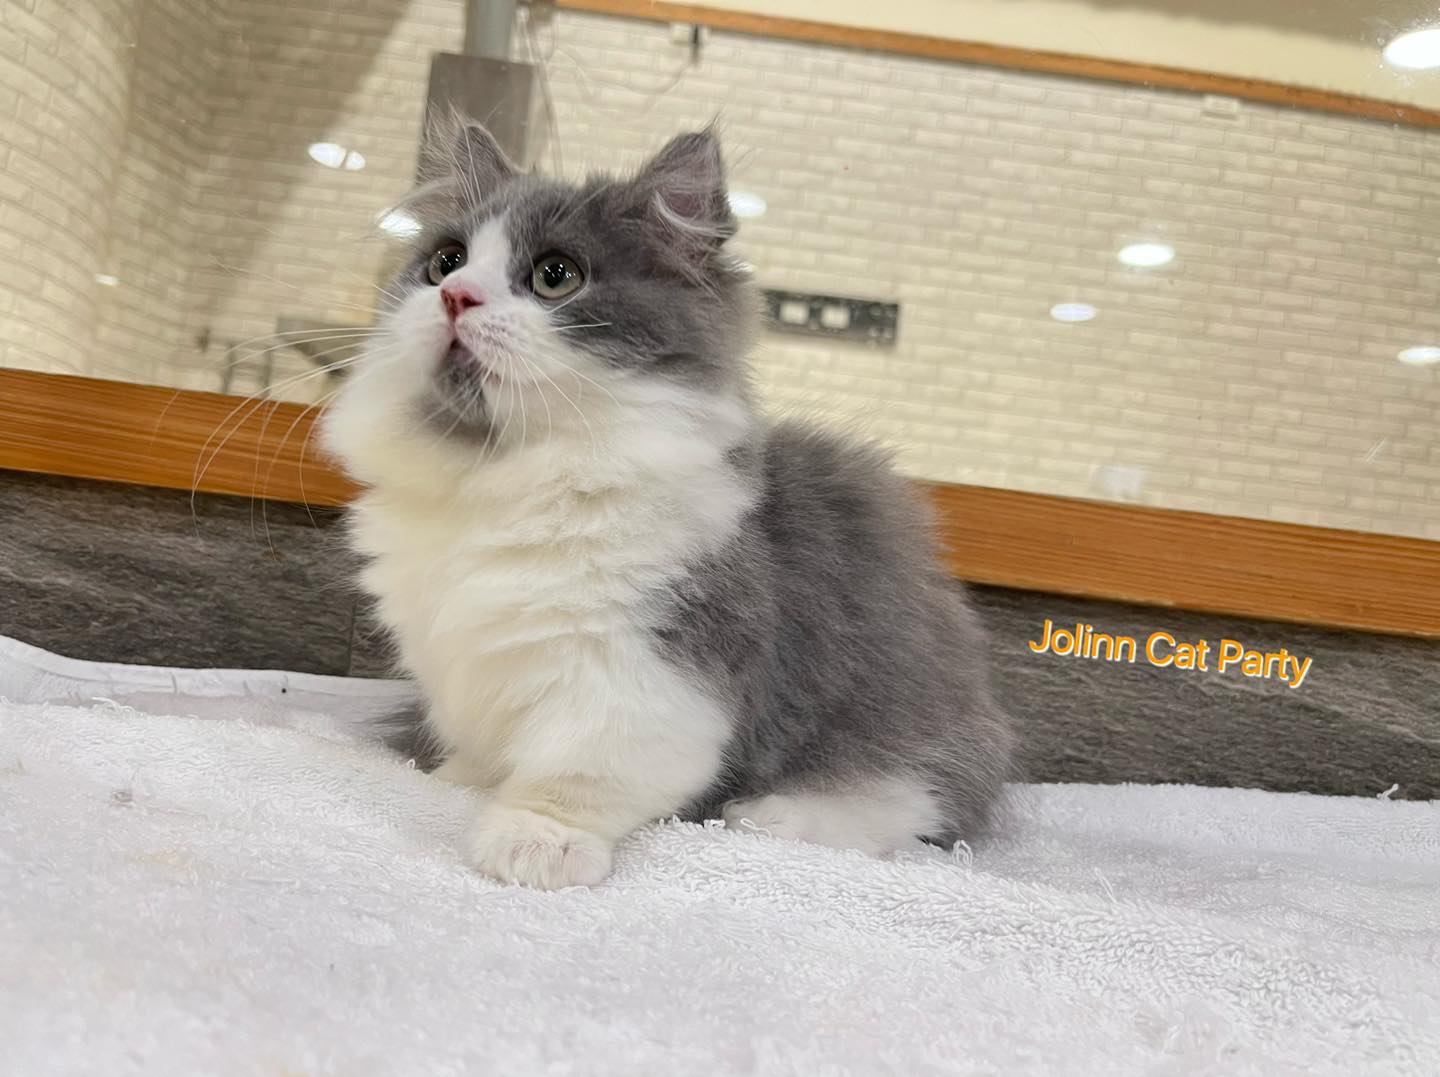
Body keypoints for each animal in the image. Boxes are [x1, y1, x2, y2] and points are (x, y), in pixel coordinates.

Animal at [321, 121, 1015, 889]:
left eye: (555, 276)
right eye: (444, 263)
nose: (456, 297)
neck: (505, 476)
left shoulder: (653, 666)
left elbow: (580, 773)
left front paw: (536, 842)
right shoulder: (463, 659)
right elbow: (480, 739)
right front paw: (461, 775)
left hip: (906, 718)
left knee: (919, 794)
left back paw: (775, 815)